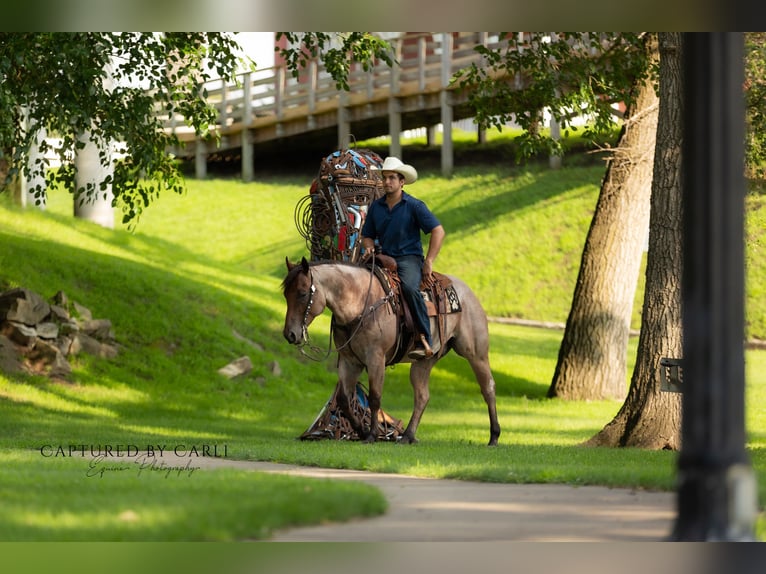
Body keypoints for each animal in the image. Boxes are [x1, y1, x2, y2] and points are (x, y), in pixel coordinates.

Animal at [281, 256, 501, 446]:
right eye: (285, 294)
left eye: (302, 293)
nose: (290, 334)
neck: (362, 302)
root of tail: (467, 292)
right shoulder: (349, 360)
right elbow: (344, 399)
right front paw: (361, 431)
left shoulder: (376, 359)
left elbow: (375, 397)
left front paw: (372, 434)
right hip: (424, 361)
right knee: (422, 396)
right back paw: (408, 436)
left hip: (476, 354)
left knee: (488, 387)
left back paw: (494, 436)